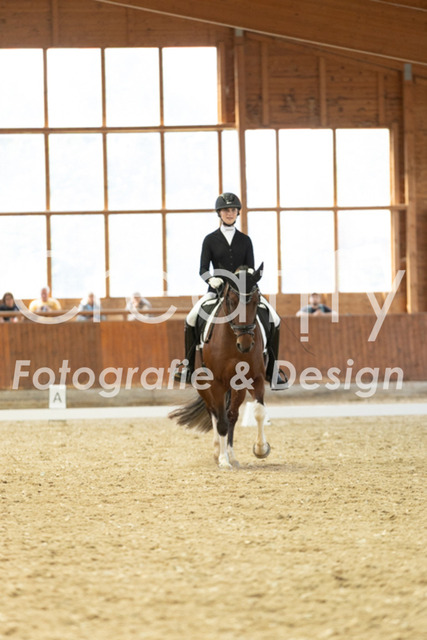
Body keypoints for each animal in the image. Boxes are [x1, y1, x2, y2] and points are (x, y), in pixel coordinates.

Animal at [169, 264, 271, 470]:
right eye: (231, 301)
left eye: (256, 301)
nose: (245, 344)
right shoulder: (215, 383)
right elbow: (220, 420)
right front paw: (223, 460)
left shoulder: (255, 378)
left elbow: (258, 413)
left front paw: (261, 449)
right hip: (204, 386)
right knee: (214, 413)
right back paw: (218, 452)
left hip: (236, 387)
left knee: (231, 415)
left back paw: (231, 455)